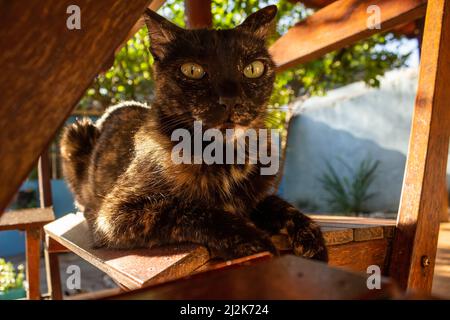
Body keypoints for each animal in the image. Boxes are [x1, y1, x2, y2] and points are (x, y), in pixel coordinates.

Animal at [60, 6, 326, 262]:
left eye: (253, 69)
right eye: (192, 70)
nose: (230, 100)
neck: (224, 158)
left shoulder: (255, 199)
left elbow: (279, 205)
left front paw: (311, 237)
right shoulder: (115, 214)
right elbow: (186, 209)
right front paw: (252, 239)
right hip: (74, 132)